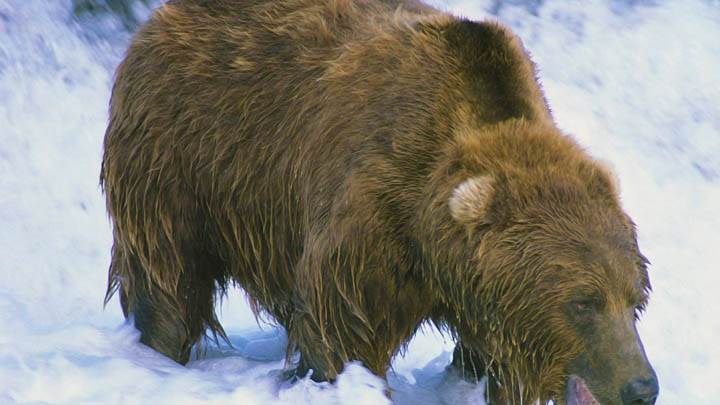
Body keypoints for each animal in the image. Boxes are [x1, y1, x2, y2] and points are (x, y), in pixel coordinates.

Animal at [100, 0, 658, 403]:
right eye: (582, 302)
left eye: (634, 299)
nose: (641, 387)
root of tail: (157, 18)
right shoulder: (375, 212)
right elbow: (344, 325)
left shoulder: (478, 290)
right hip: (180, 157)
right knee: (168, 274)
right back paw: (163, 346)